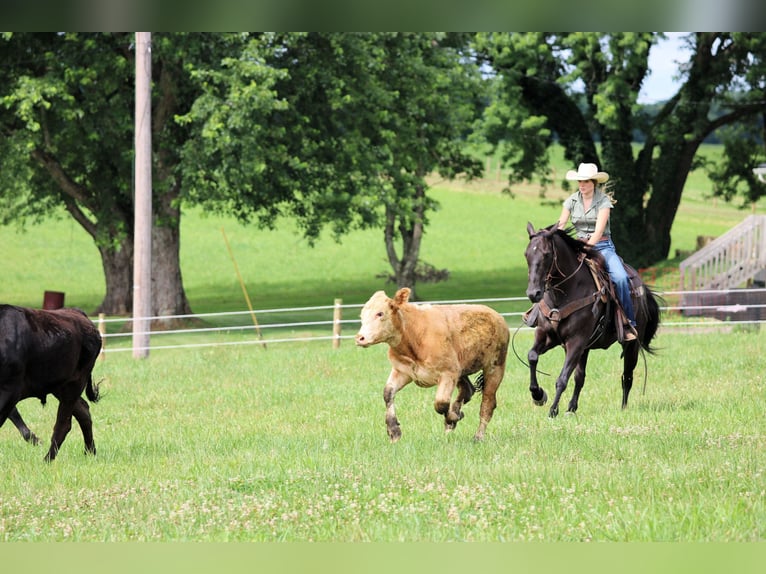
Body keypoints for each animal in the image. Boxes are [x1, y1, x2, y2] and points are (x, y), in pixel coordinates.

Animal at [523, 222, 661, 418]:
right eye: (526, 254)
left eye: (547, 254)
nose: (533, 293)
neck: (565, 293)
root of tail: (642, 287)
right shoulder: (547, 336)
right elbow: (532, 356)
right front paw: (538, 395)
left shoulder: (576, 341)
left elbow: (562, 378)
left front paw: (553, 411)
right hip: (586, 349)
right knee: (580, 377)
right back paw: (571, 408)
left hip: (631, 345)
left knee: (627, 376)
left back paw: (623, 408)